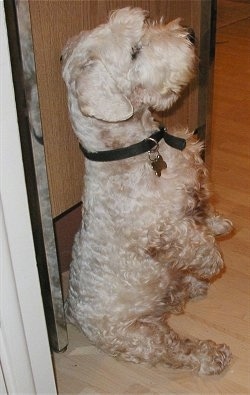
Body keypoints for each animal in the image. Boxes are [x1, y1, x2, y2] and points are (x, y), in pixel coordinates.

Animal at [61, 7, 233, 376]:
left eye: (144, 21)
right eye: (134, 51)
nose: (191, 33)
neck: (140, 148)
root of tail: (75, 318)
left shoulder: (191, 182)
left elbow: (202, 209)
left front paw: (220, 225)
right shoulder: (158, 228)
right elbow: (192, 240)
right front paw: (213, 260)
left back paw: (191, 285)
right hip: (141, 336)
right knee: (177, 349)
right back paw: (211, 354)